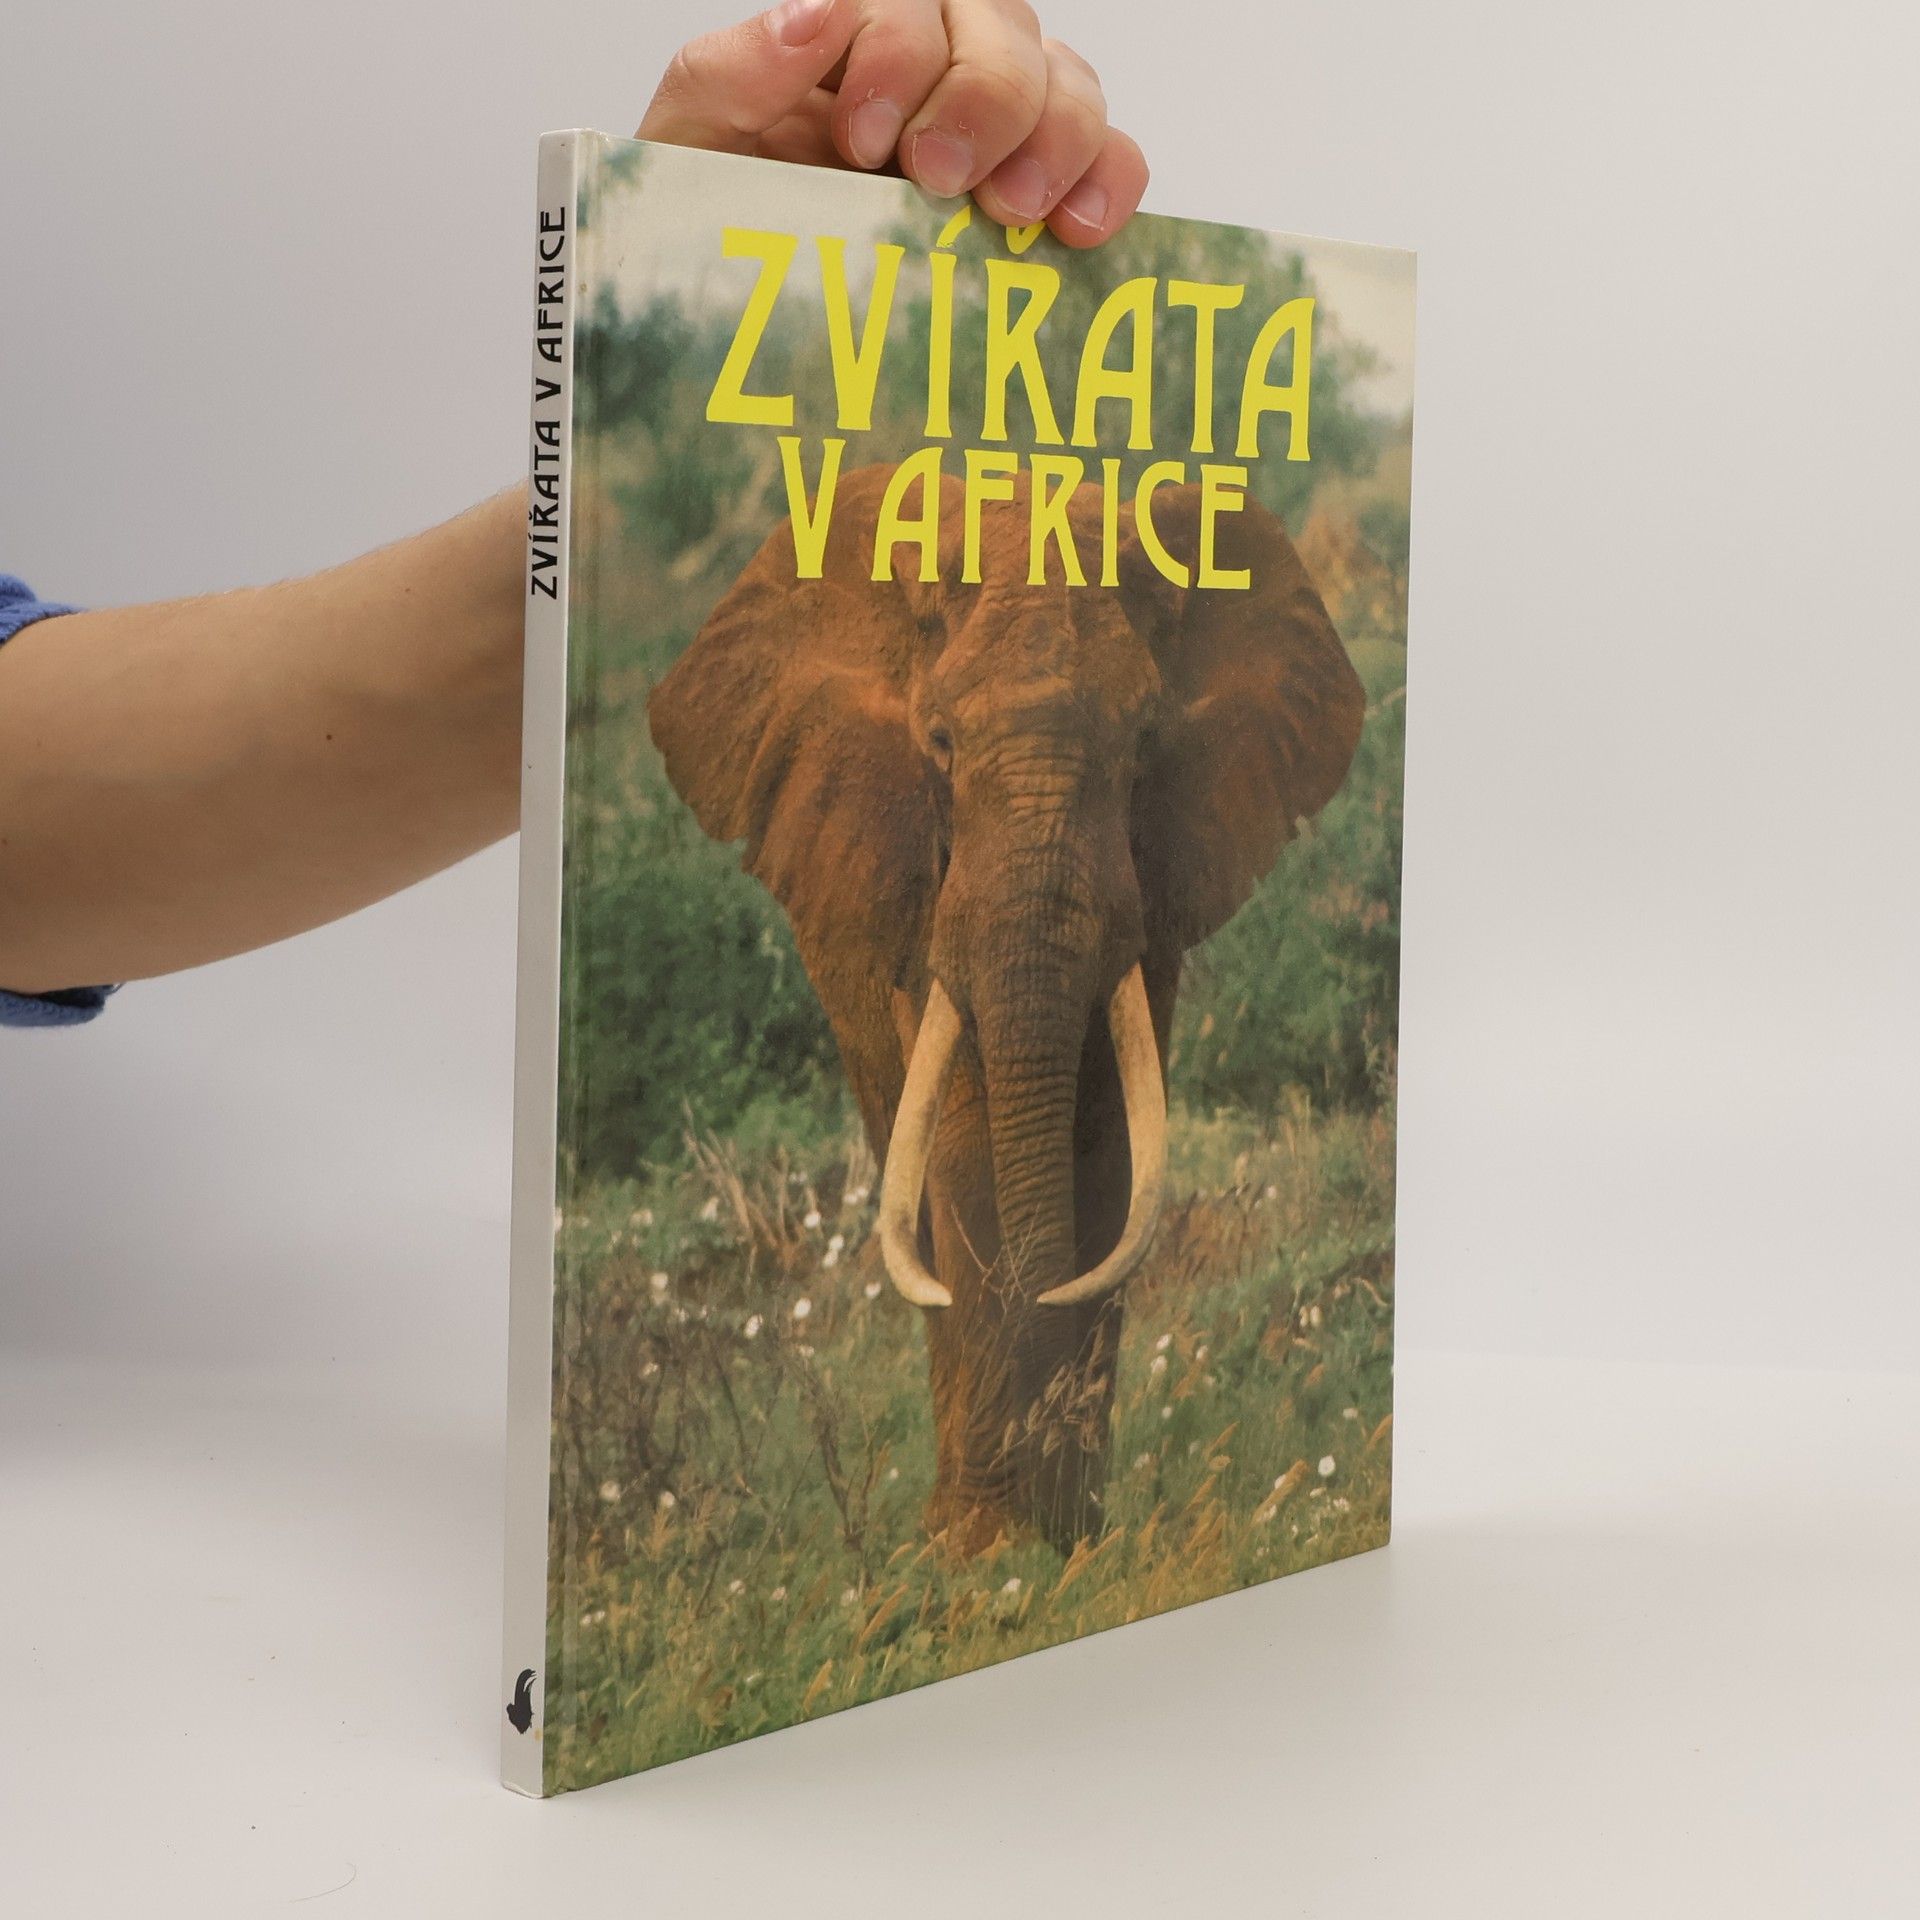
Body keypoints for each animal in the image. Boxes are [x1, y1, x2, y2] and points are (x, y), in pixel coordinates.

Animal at [648, 462, 1364, 1557]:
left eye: (1146, 745)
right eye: (939, 744)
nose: (1051, 1510)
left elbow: (1112, 1147)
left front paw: (1074, 1536)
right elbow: (966, 1147)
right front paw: (987, 1553)